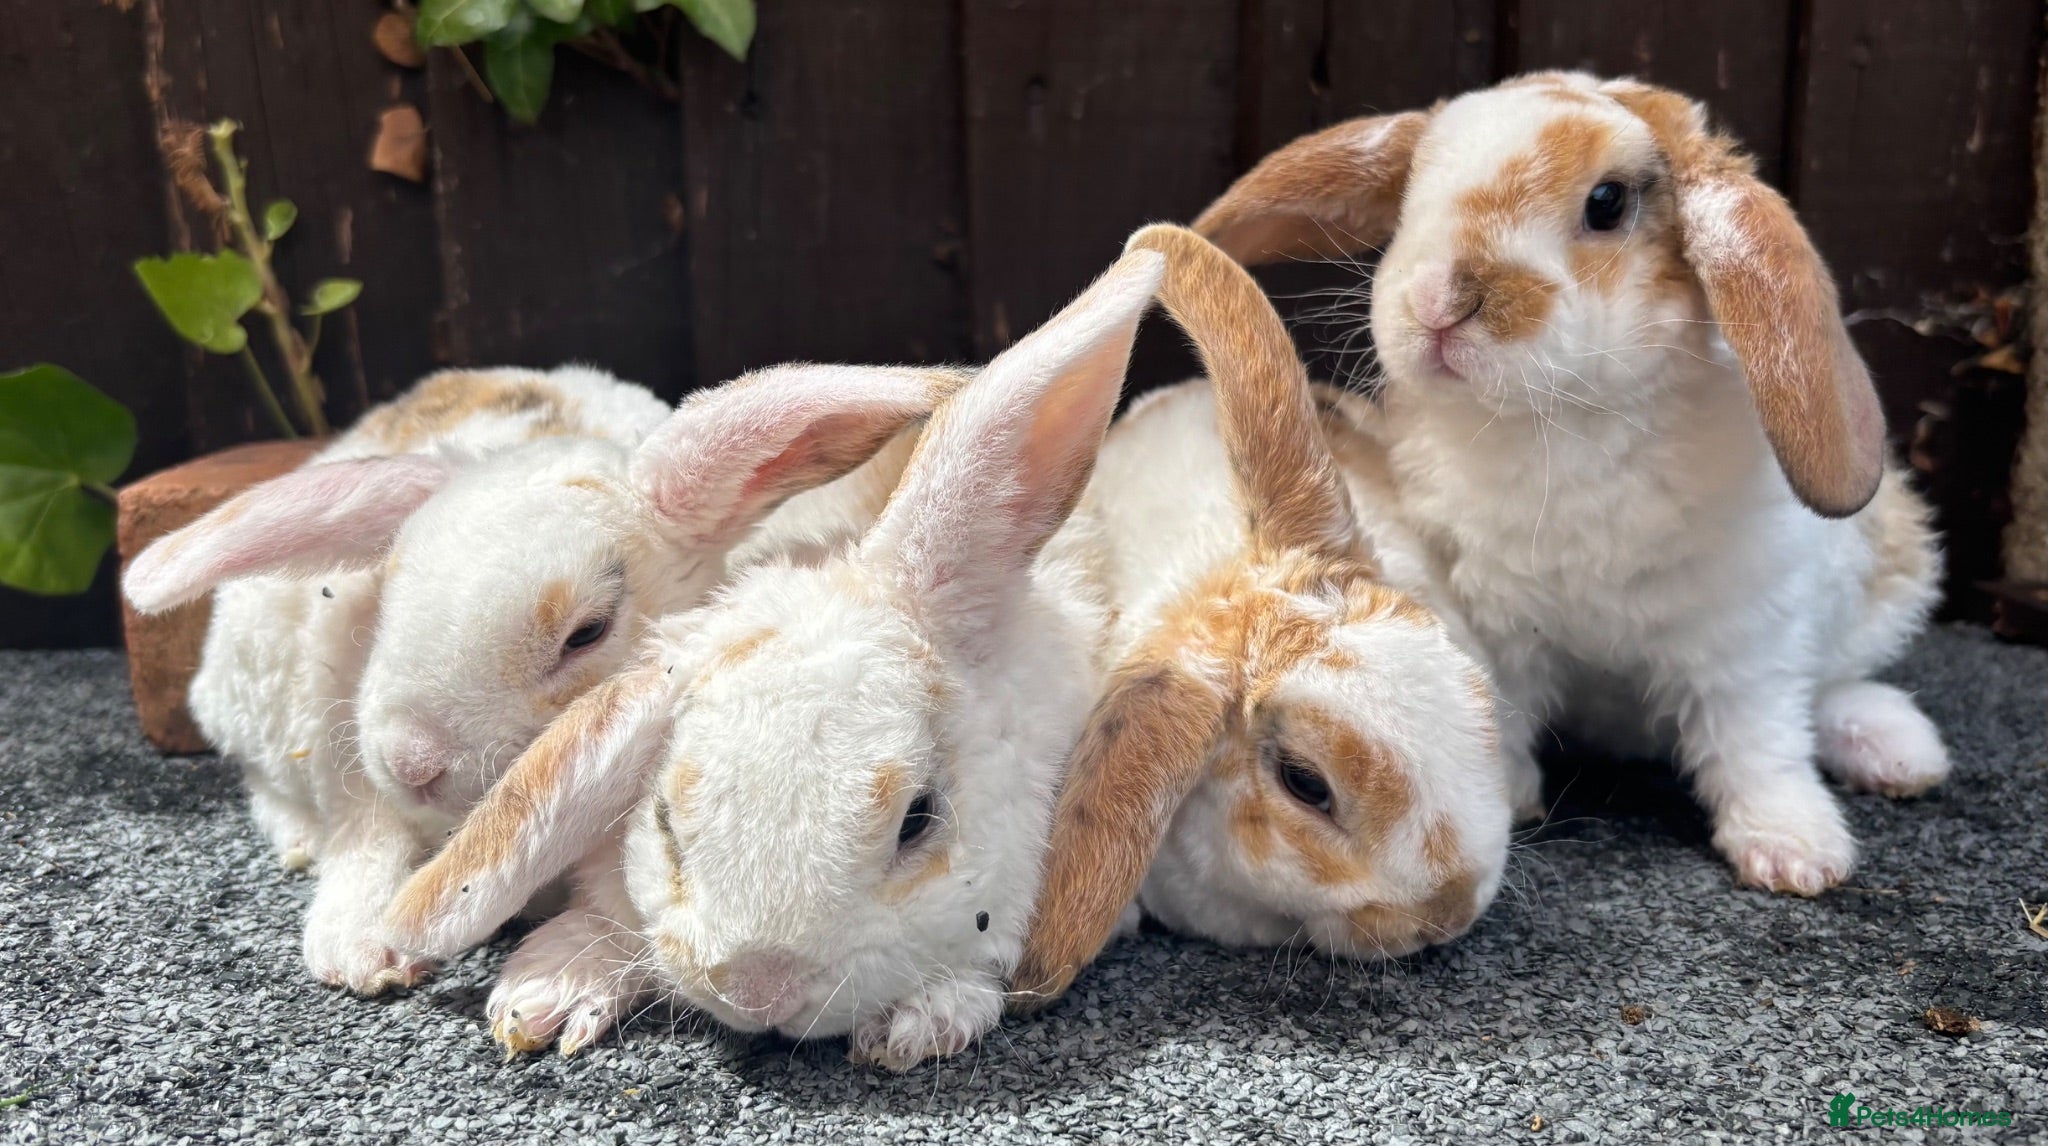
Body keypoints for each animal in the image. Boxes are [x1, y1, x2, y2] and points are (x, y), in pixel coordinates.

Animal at [122, 363, 951, 1003]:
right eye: (392, 583)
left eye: (585, 631)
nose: (409, 761)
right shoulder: (346, 752)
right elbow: (368, 836)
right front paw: (360, 952)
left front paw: (560, 983)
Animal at [1188, 71, 1945, 896]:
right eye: (1414, 188)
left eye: (1607, 203)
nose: (1439, 302)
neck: (1562, 421)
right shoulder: (1496, 625)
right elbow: (1508, 711)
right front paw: (1503, 793)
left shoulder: (1745, 637)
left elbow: (1757, 742)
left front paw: (1794, 853)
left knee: (1829, 688)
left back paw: (1899, 750)